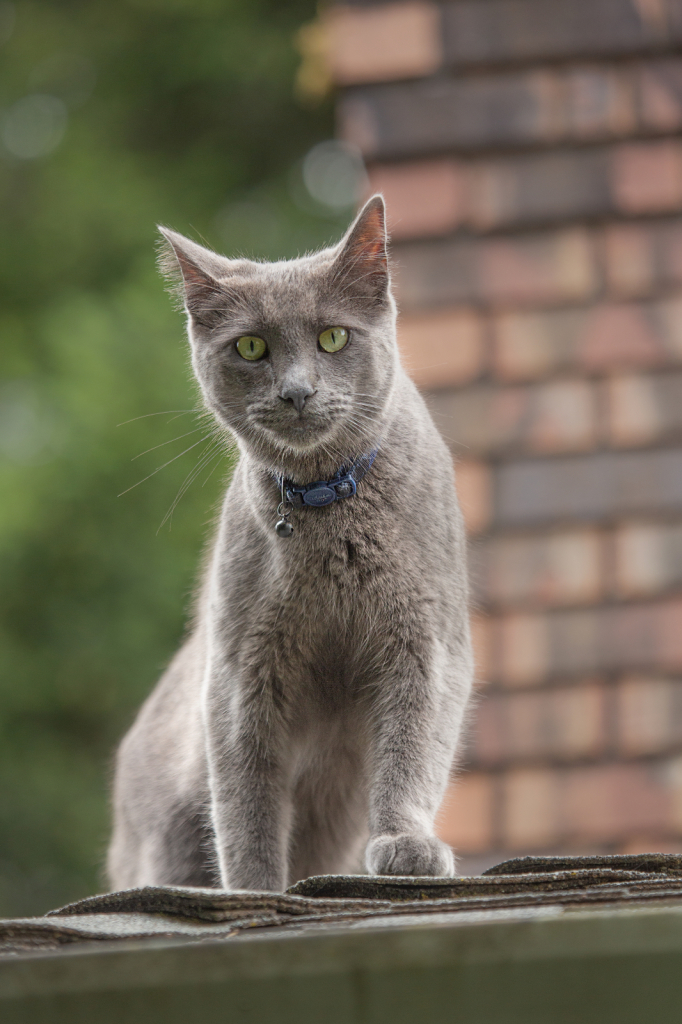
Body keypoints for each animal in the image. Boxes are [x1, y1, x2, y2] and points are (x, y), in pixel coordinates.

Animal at [107, 195, 473, 892]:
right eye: (251, 347)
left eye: (333, 337)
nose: (296, 391)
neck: (326, 508)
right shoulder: (240, 672)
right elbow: (246, 794)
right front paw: (254, 890)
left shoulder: (427, 642)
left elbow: (412, 747)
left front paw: (406, 846)